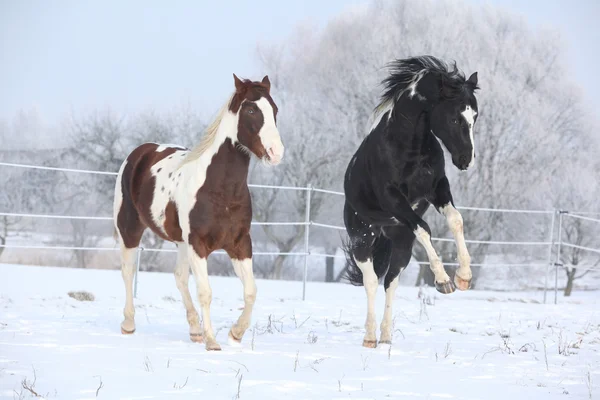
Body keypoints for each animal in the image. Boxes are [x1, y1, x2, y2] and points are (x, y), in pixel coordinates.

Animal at [113, 74, 286, 350]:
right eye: (251, 110)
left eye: (275, 110)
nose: (275, 153)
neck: (220, 190)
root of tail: (141, 152)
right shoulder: (199, 244)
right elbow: (206, 292)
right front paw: (212, 341)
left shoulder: (239, 244)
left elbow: (251, 291)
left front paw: (235, 333)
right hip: (129, 229)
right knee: (128, 272)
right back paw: (129, 324)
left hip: (181, 243)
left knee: (180, 277)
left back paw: (194, 330)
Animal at [344, 55, 480, 346]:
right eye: (454, 118)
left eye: (474, 116)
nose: (466, 160)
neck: (408, 146)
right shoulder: (393, 199)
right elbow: (424, 228)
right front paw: (443, 281)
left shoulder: (438, 188)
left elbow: (456, 220)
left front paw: (463, 276)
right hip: (362, 240)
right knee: (371, 282)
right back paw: (370, 337)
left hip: (401, 246)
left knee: (390, 283)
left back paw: (385, 337)